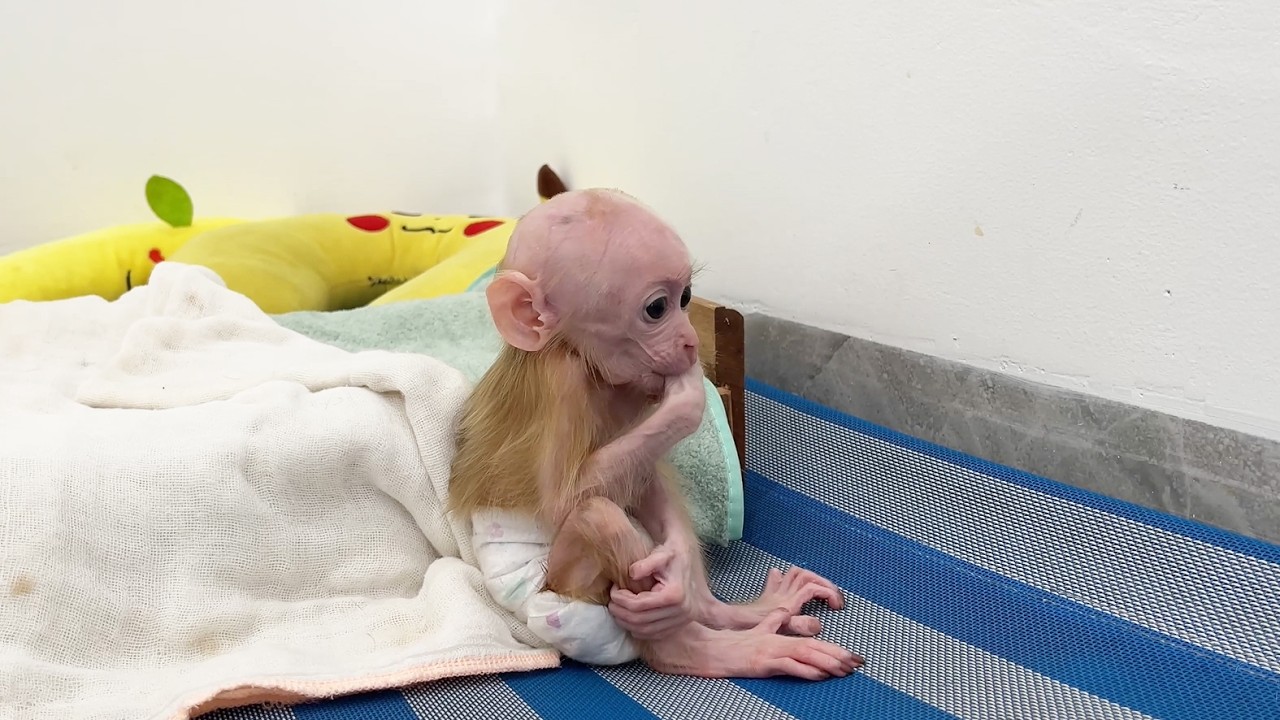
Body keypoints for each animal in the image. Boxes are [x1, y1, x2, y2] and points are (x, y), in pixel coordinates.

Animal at [448, 188, 863, 680]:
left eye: (687, 298)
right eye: (656, 309)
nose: (691, 343)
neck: (583, 359)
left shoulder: (635, 389)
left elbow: (643, 476)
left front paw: (682, 575)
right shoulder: (561, 382)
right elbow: (562, 500)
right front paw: (688, 400)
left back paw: (727, 612)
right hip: (555, 599)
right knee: (598, 515)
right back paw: (706, 649)